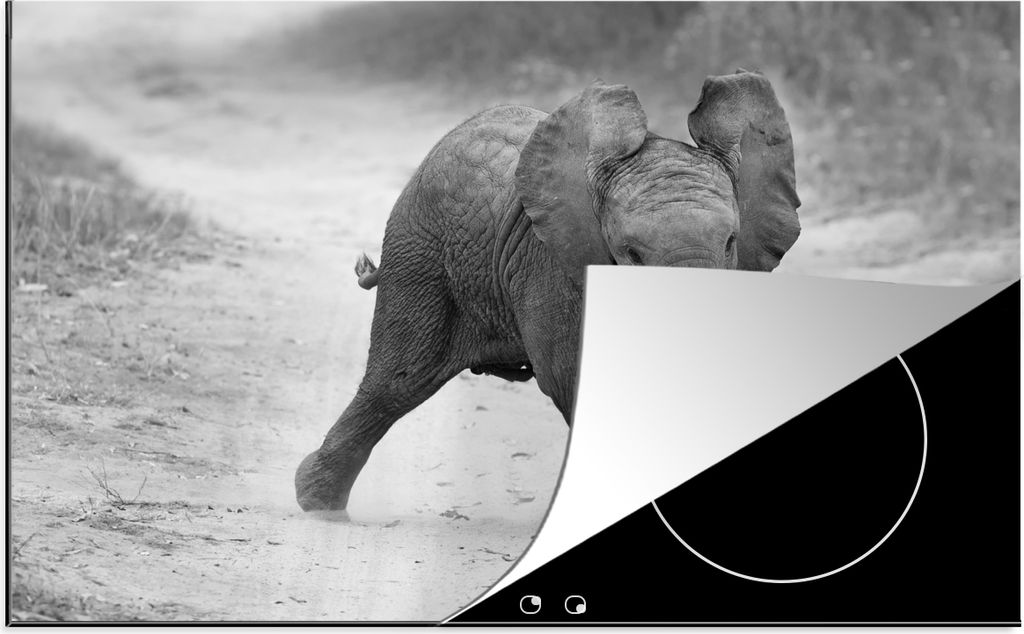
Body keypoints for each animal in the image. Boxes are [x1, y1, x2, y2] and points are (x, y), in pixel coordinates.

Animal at [295, 70, 801, 512]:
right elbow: (569, 375)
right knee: (398, 380)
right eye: (631, 254)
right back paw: (317, 503)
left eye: (731, 242)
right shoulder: (551, 266)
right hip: (419, 252)